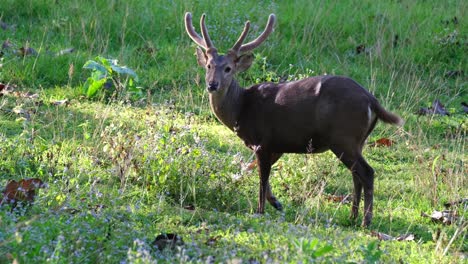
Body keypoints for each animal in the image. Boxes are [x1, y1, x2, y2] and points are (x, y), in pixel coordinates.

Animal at [185, 12, 404, 227]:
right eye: (209, 66)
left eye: (229, 68)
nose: (212, 84)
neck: (241, 110)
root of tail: (371, 100)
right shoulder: (277, 144)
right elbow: (260, 174)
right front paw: (276, 203)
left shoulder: (262, 141)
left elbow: (261, 179)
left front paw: (260, 211)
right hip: (358, 141)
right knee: (356, 174)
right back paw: (352, 217)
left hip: (344, 137)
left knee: (367, 172)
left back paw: (366, 221)